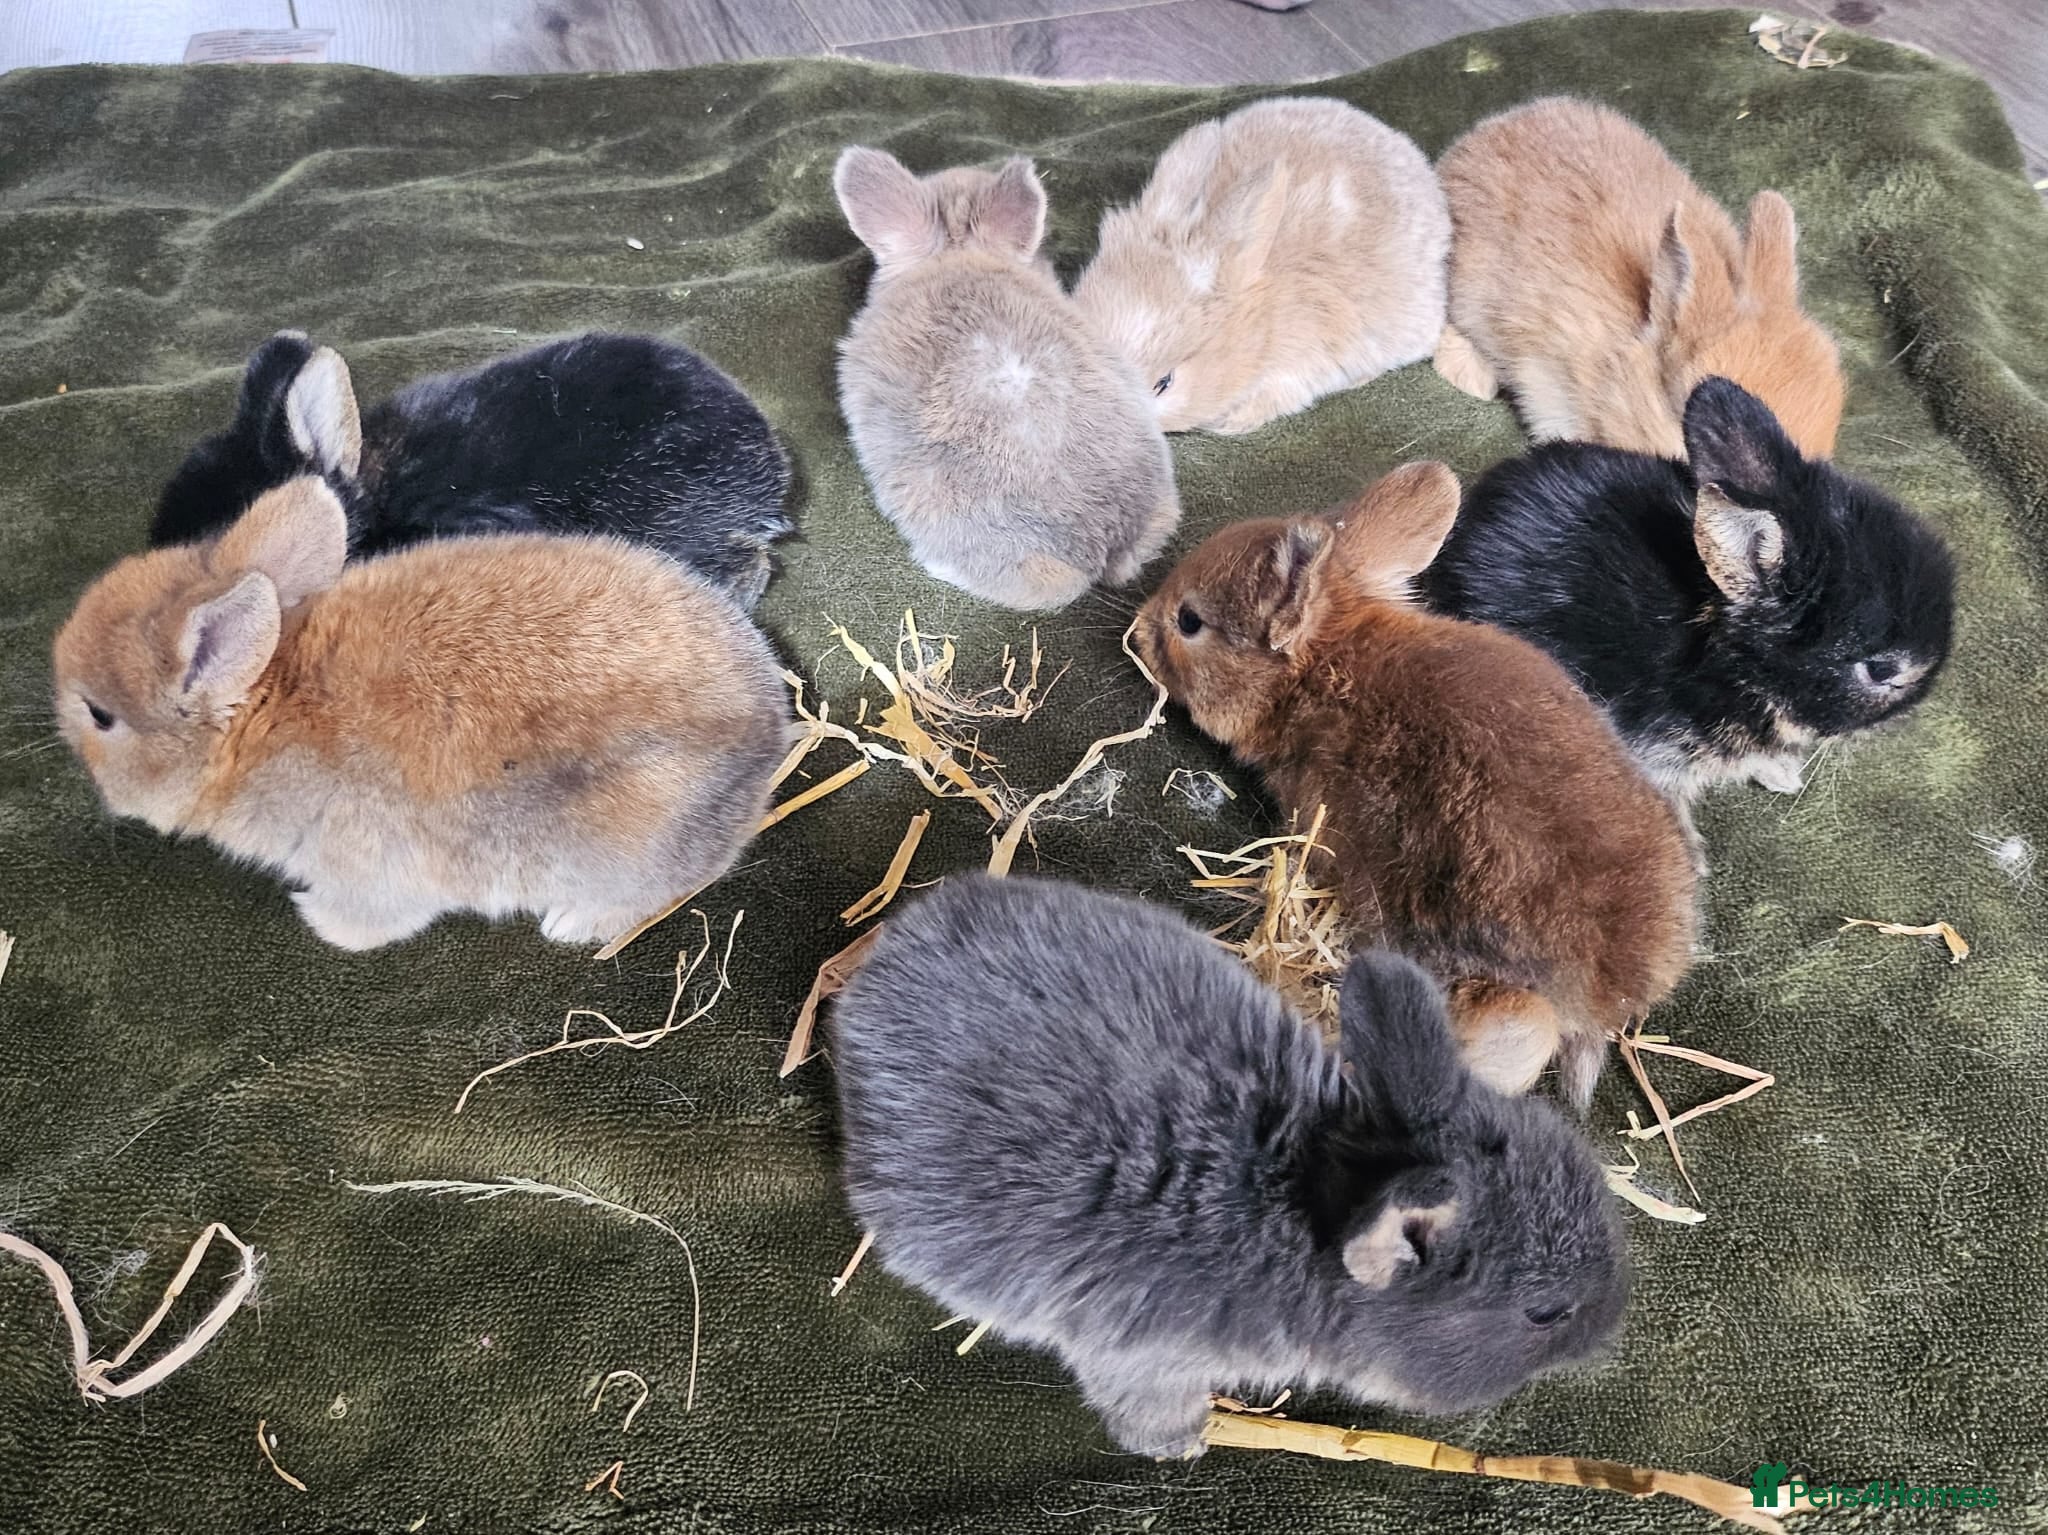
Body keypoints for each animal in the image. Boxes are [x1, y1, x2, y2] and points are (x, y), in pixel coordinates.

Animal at [54, 476, 791, 951]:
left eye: (100, 715)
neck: (269, 702)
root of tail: (771, 731)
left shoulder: (362, 862)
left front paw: (318, 920)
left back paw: (571, 924)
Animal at [831, 873, 1627, 1461]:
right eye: (1545, 1312)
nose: (1616, 1318)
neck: (1309, 1192)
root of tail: (878, 976)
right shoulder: (1148, 1356)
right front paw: (1181, 1445)